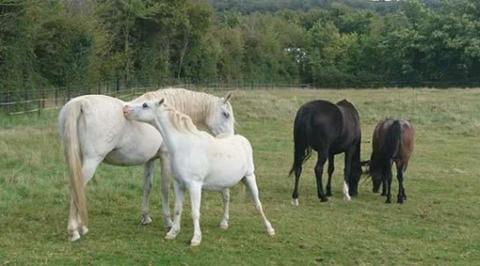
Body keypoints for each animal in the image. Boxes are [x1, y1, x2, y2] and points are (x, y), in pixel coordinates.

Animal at [58, 89, 234, 241]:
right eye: (225, 114)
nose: (230, 138)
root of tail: (80, 103)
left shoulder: (150, 160)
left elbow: (147, 187)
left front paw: (145, 217)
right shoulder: (165, 157)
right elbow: (164, 188)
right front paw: (169, 223)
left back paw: (81, 227)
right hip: (91, 160)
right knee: (77, 187)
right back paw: (74, 231)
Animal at [122, 98, 276, 246]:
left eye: (145, 105)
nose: (125, 109)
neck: (185, 146)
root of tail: (242, 139)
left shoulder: (195, 186)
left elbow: (195, 213)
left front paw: (196, 239)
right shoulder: (179, 185)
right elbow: (177, 209)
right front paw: (172, 233)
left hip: (249, 177)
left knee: (257, 204)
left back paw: (269, 229)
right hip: (224, 184)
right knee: (226, 199)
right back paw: (224, 223)